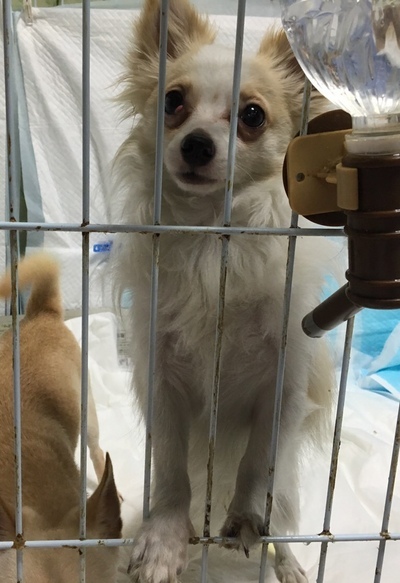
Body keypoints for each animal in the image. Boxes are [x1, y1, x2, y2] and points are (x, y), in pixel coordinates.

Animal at [113, 1, 336, 581]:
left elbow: (259, 460)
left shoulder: (283, 385)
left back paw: (288, 563)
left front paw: (245, 518)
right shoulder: (161, 381)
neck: (212, 241)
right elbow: (170, 470)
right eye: (173, 102)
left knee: (282, 519)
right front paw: (164, 540)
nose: (197, 143)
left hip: (290, 494)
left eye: (253, 116)